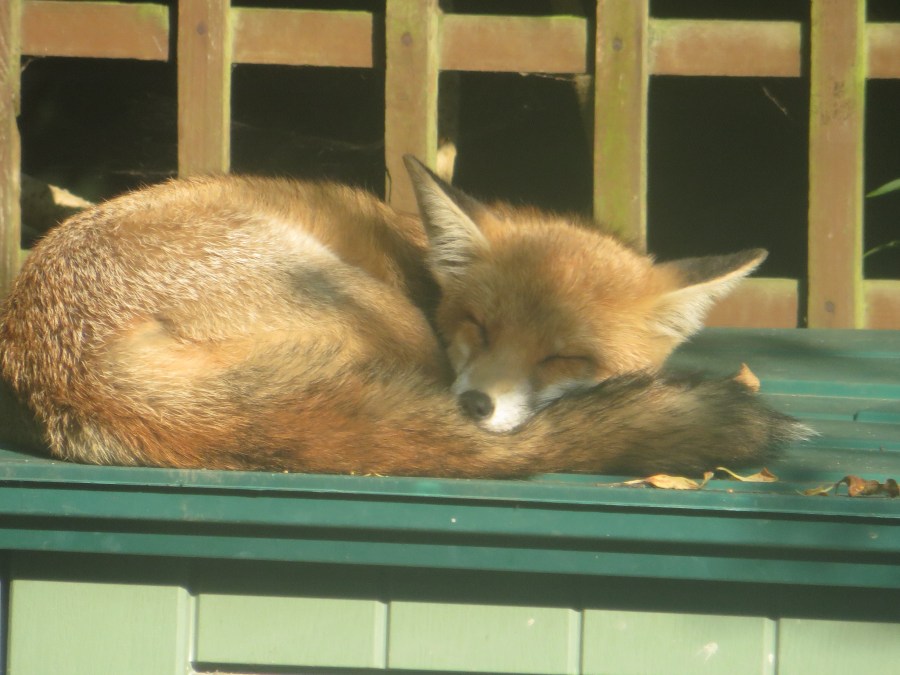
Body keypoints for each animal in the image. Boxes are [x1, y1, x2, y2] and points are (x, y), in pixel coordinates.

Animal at [0, 157, 806, 477]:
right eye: (478, 326)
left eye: (563, 358)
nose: (475, 404)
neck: (422, 261)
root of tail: (77, 369)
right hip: (364, 303)